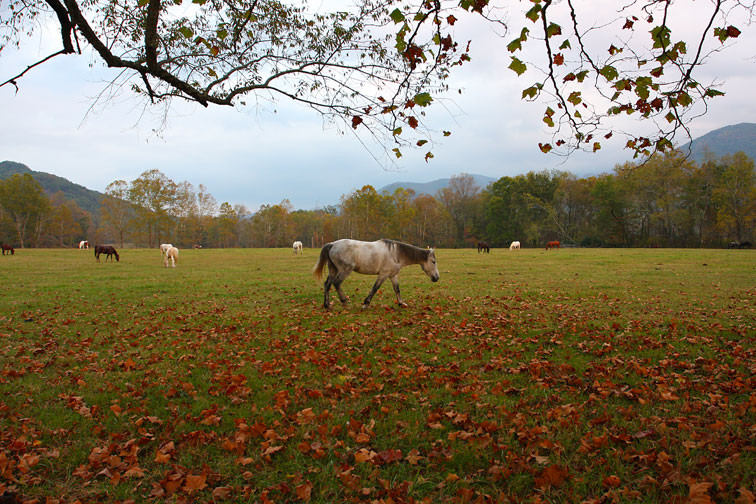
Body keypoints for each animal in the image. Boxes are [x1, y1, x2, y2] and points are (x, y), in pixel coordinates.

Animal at [312, 238, 440, 310]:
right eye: (433, 262)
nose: (436, 278)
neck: (396, 253)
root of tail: (332, 244)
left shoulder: (393, 275)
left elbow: (397, 289)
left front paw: (401, 303)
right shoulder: (383, 275)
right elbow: (375, 288)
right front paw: (366, 304)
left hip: (333, 270)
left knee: (327, 284)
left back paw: (327, 305)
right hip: (344, 270)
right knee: (336, 283)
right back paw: (344, 302)